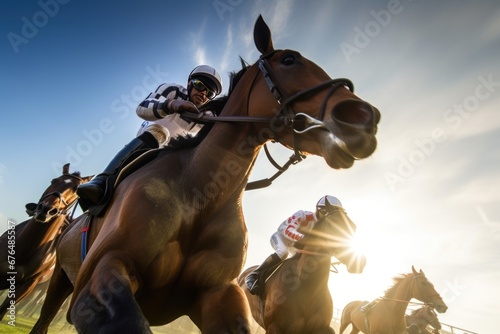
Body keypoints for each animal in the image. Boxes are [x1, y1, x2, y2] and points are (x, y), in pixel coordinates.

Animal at [236, 206, 366, 334]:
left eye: (353, 226)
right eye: (334, 226)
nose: (360, 261)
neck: (307, 287)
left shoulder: (322, 327)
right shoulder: (274, 327)